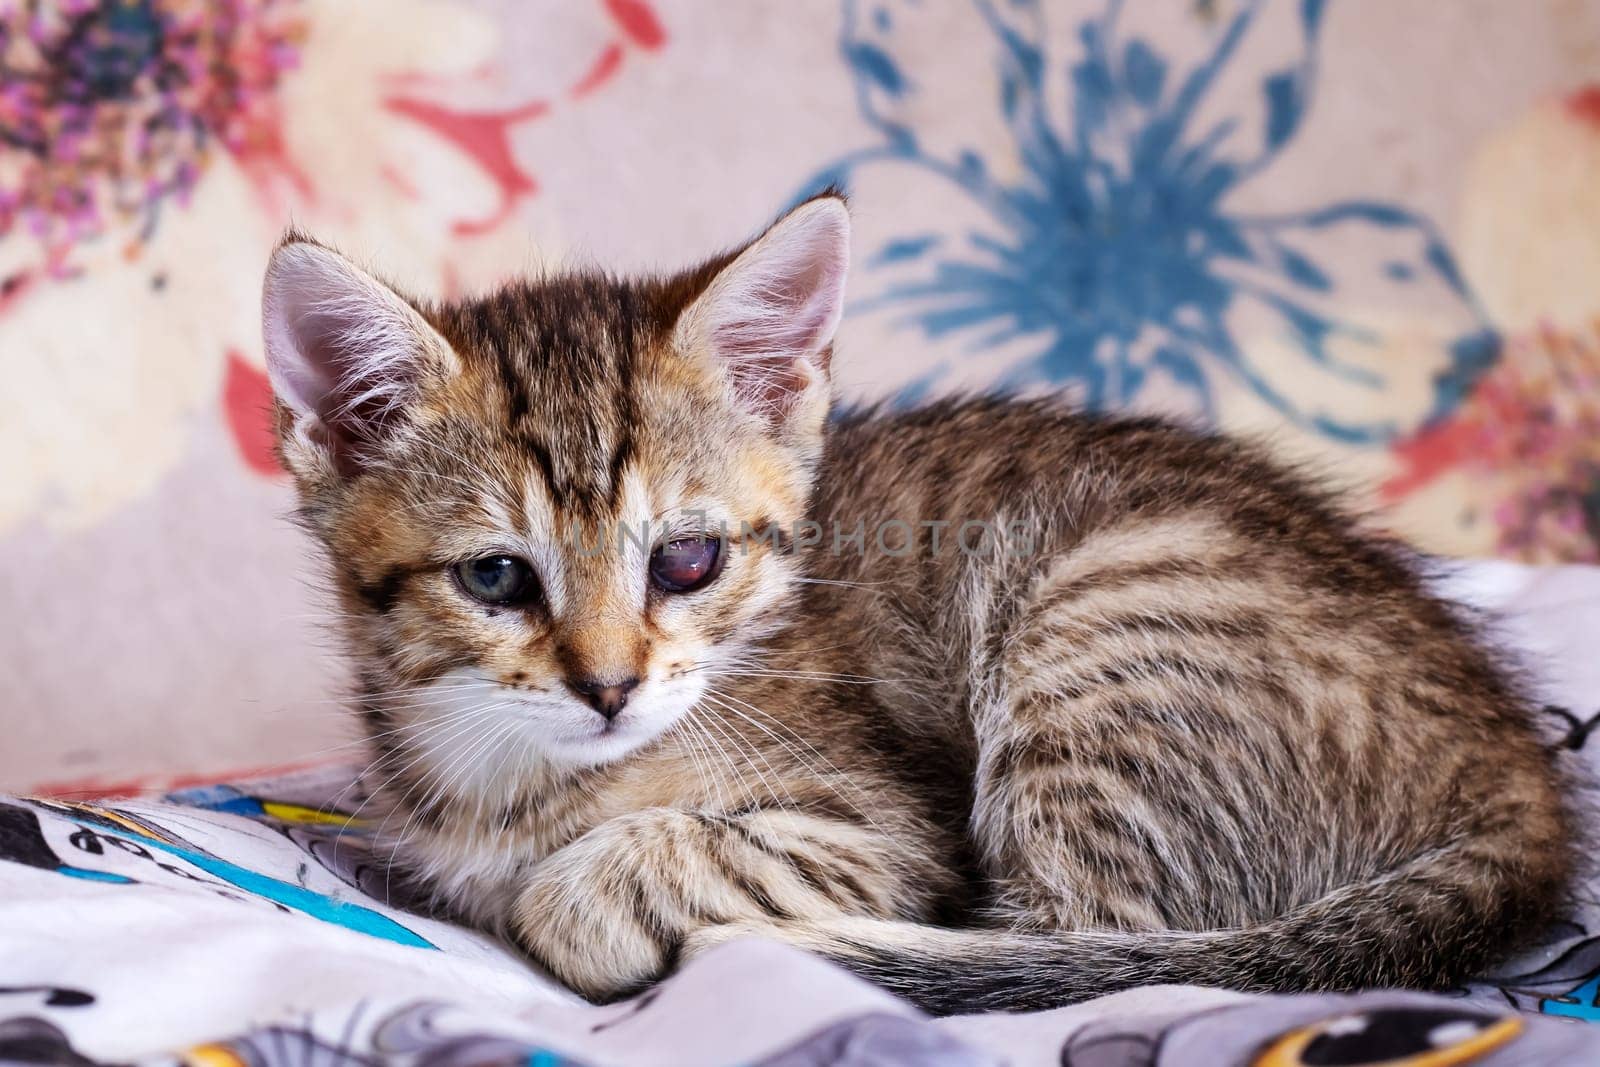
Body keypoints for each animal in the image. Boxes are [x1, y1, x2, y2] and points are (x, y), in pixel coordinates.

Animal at [262, 194, 1574, 1017]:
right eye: (495, 577)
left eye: (686, 560)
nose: (608, 685)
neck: (504, 771)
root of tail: (1518, 771)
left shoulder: (885, 821)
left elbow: (598, 880)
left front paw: (587, 899)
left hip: (1096, 610)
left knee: (1102, 945)